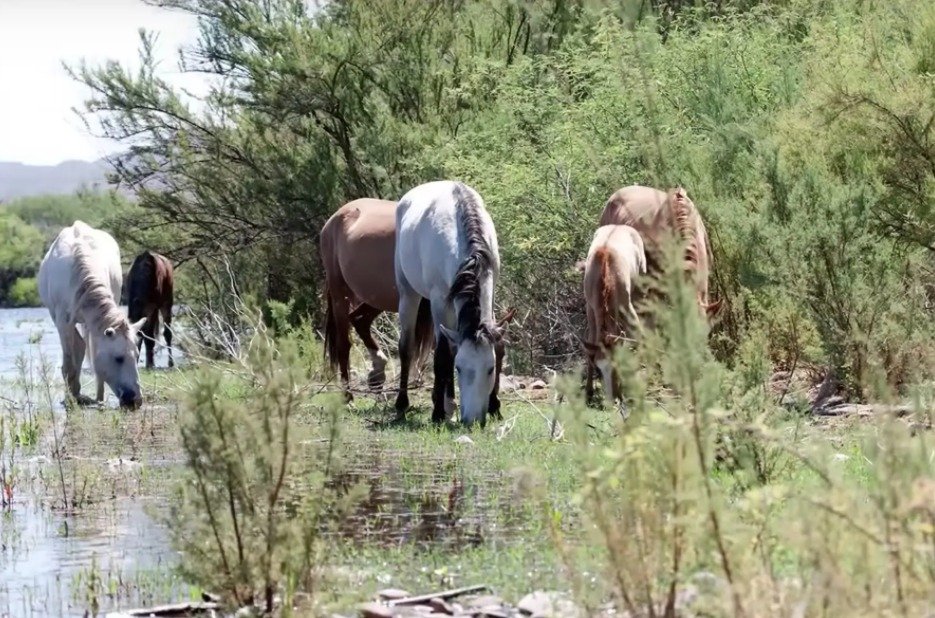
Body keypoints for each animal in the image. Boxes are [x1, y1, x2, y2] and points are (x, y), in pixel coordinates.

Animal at [37, 220, 147, 409]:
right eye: (119, 358)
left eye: (137, 356)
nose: (135, 401)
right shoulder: (63, 322)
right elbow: (69, 363)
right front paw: (71, 401)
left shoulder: (95, 323)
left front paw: (99, 400)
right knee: (78, 349)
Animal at [319, 198, 436, 401]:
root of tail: (334, 218)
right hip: (340, 292)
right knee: (344, 342)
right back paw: (348, 395)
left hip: (378, 297)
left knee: (359, 319)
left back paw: (377, 373)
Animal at [393, 180, 516, 427]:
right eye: (459, 368)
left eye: (490, 369)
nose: (473, 420)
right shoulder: (439, 300)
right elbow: (442, 356)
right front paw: (437, 414)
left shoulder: (490, 290)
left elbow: (497, 347)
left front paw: (494, 406)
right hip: (408, 293)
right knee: (407, 347)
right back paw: (403, 404)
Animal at [577, 225, 647, 411]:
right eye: (598, 369)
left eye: (616, 366)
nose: (611, 401)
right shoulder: (591, 308)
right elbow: (590, 343)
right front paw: (588, 393)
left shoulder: (625, 307)